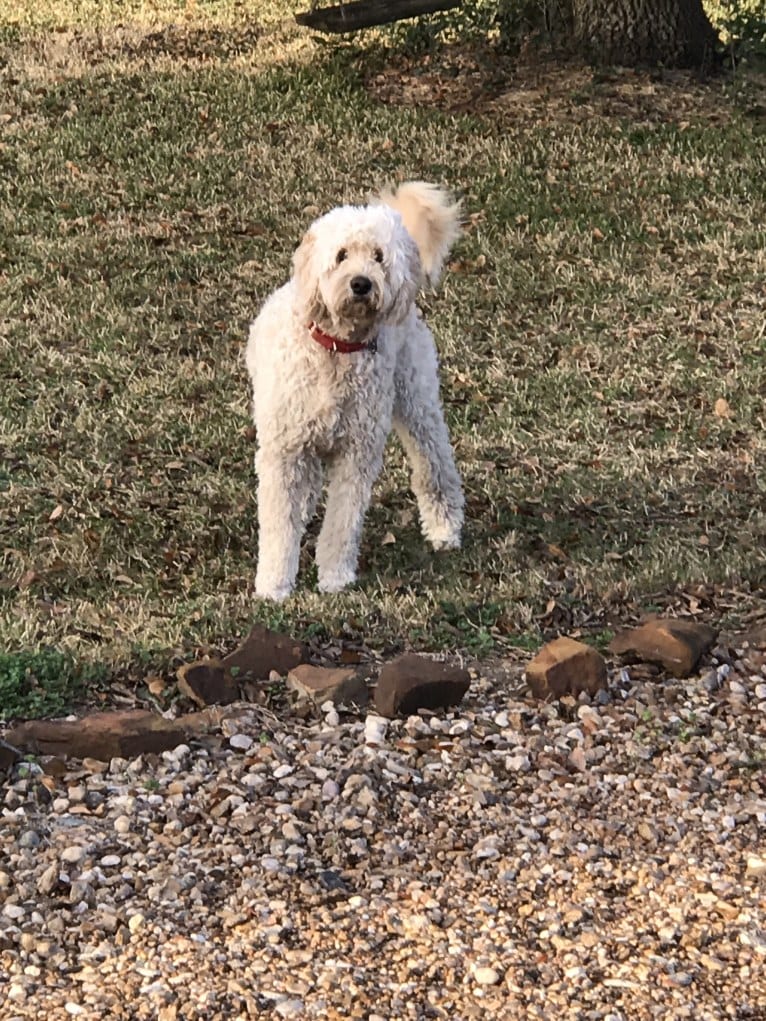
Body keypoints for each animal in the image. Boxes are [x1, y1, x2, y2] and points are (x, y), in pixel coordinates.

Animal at [246, 182, 465, 600]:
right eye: (341, 255)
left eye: (379, 257)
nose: (361, 283)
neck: (335, 349)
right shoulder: (285, 451)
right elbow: (279, 523)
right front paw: (275, 584)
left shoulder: (356, 454)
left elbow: (343, 522)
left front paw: (334, 577)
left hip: (417, 400)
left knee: (435, 466)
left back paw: (445, 529)